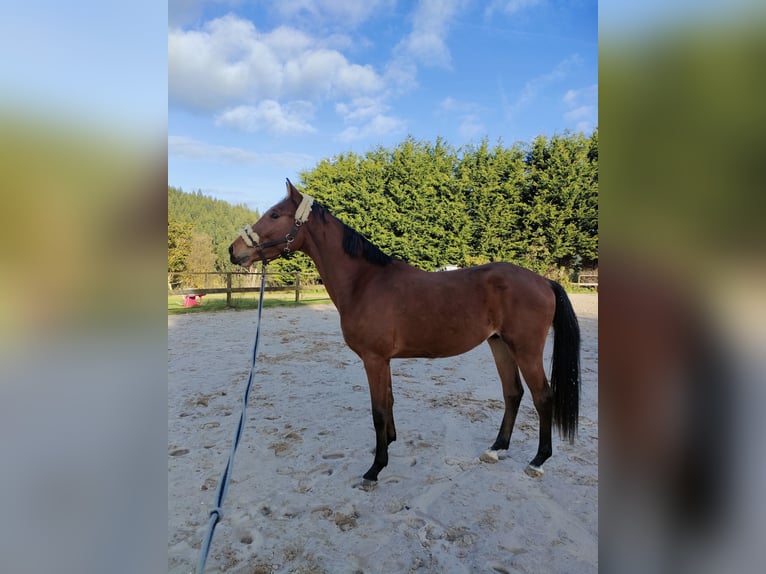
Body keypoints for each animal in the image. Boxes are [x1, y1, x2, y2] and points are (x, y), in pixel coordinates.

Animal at [230, 179, 584, 482]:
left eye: (275, 214)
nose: (235, 251)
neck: (365, 282)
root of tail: (544, 281)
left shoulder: (373, 359)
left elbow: (377, 409)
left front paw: (375, 468)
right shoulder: (383, 360)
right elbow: (388, 402)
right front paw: (388, 443)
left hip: (525, 349)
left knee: (543, 397)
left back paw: (538, 460)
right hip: (499, 344)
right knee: (513, 393)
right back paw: (496, 449)